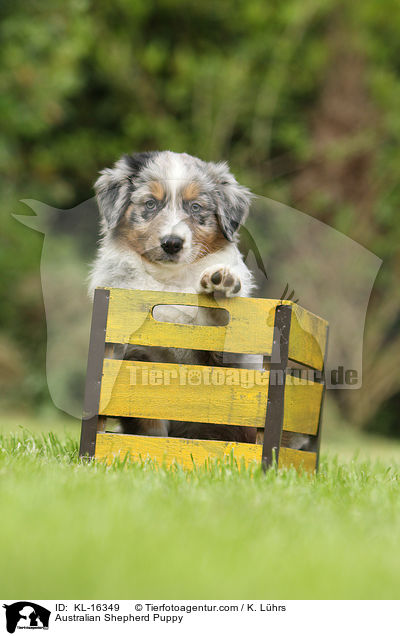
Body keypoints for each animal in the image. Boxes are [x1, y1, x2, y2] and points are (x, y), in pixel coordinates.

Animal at [88, 152, 256, 444]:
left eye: (196, 207)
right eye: (150, 204)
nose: (172, 243)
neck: (169, 281)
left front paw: (220, 284)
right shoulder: (137, 356)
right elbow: (150, 420)